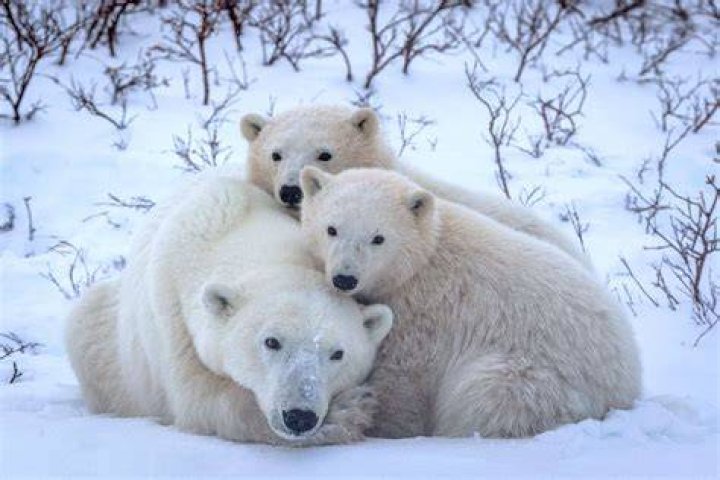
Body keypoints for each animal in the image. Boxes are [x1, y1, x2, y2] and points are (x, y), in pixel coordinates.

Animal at [65, 173, 394, 446]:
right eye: (271, 341)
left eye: (338, 353)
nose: (299, 416)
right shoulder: (174, 316)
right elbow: (199, 400)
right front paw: (350, 410)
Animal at [299, 166, 642, 439]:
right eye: (331, 229)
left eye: (378, 238)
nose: (345, 278)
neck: (423, 260)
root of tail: (627, 387)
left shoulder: (425, 312)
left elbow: (403, 378)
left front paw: (381, 426)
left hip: (532, 378)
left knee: (484, 396)